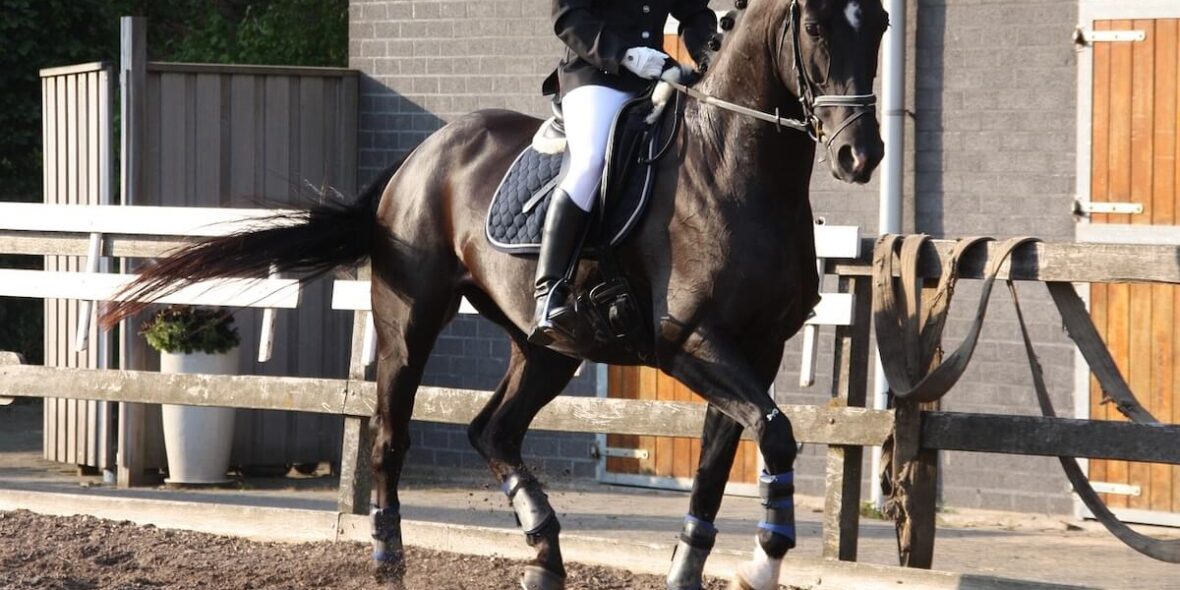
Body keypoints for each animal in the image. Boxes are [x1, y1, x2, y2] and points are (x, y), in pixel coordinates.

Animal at [100, 1, 888, 588]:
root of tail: (420, 155)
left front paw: (707, 569)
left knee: (493, 431)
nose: (861, 155)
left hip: (547, 346)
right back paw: (390, 558)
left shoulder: (756, 348)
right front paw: (765, 562)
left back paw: (544, 553)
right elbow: (775, 433)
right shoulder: (685, 342)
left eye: (880, 22)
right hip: (410, 320)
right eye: (818, 28)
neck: (734, 169)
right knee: (391, 436)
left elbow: (722, 466)